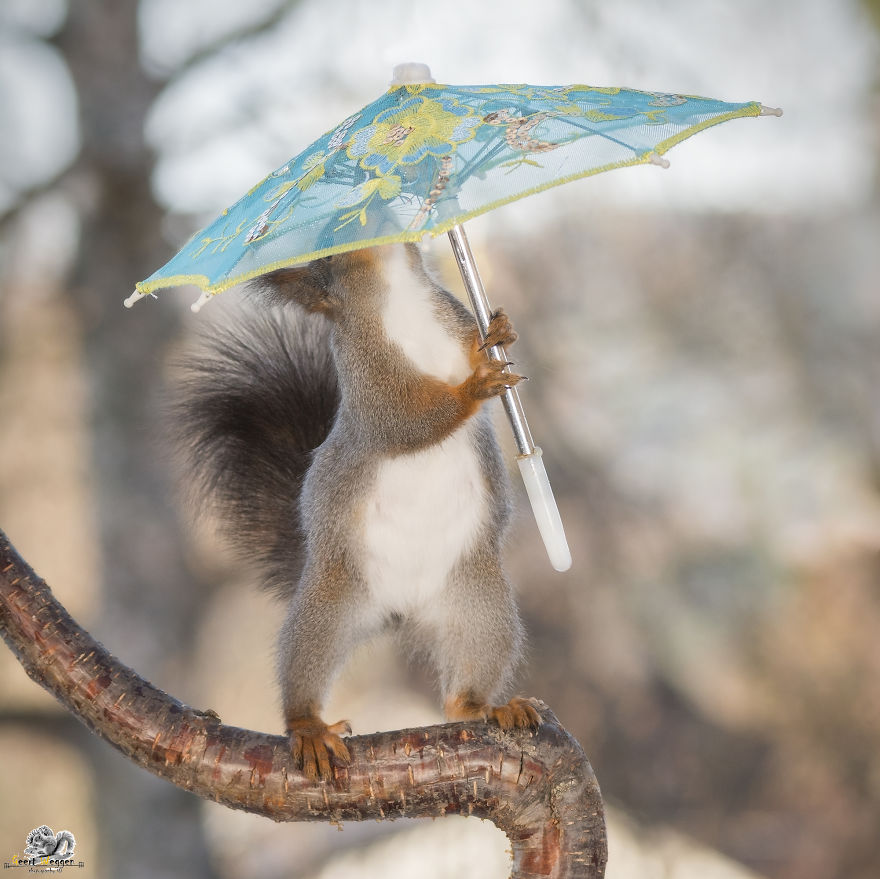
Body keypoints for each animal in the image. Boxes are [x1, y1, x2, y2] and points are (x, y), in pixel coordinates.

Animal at [174, 242, 540, 780]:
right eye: (328, 253)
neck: (399, 294)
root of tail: (401, 612)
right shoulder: (369, 375)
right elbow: (408, 418)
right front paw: (474, 387)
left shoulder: (452, 317)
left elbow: (477, 348)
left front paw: (499, 331)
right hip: (331, 603)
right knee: (305, 666)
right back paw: (309, 729)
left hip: (480, 605)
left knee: (460, 694)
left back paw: (487, 707)